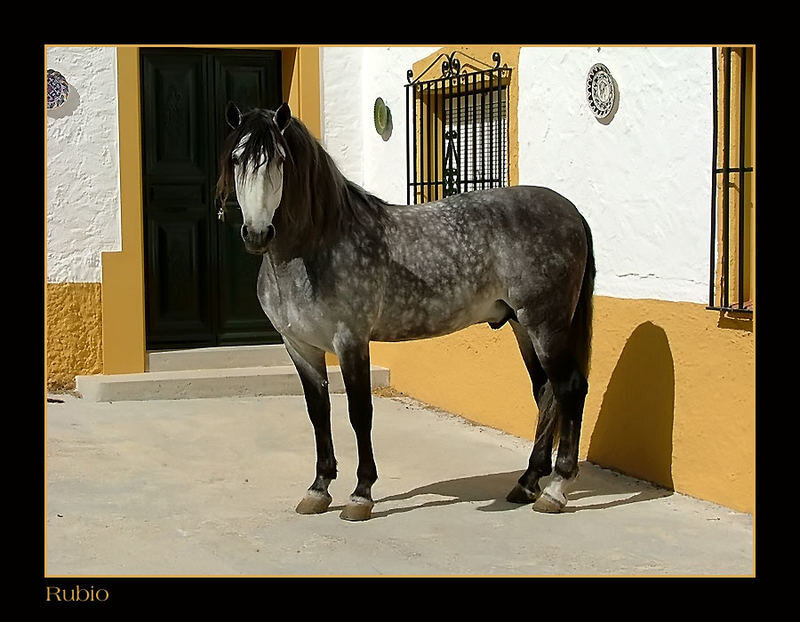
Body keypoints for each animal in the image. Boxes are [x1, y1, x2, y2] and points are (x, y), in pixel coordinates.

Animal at [216, 101, 595, 521]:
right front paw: (318, 488)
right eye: (236, 159)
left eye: (280, 160)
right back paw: (527, 483)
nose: (257, 234)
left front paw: (361, 494)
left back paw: (556, 489)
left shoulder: (350, 340)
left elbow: (359, 412)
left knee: (570, 388)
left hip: (546, 324)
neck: (315, 247)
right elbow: (319, 413)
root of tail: (571, 211)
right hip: (522, 326)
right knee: (546, 391)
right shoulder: (300, 347)